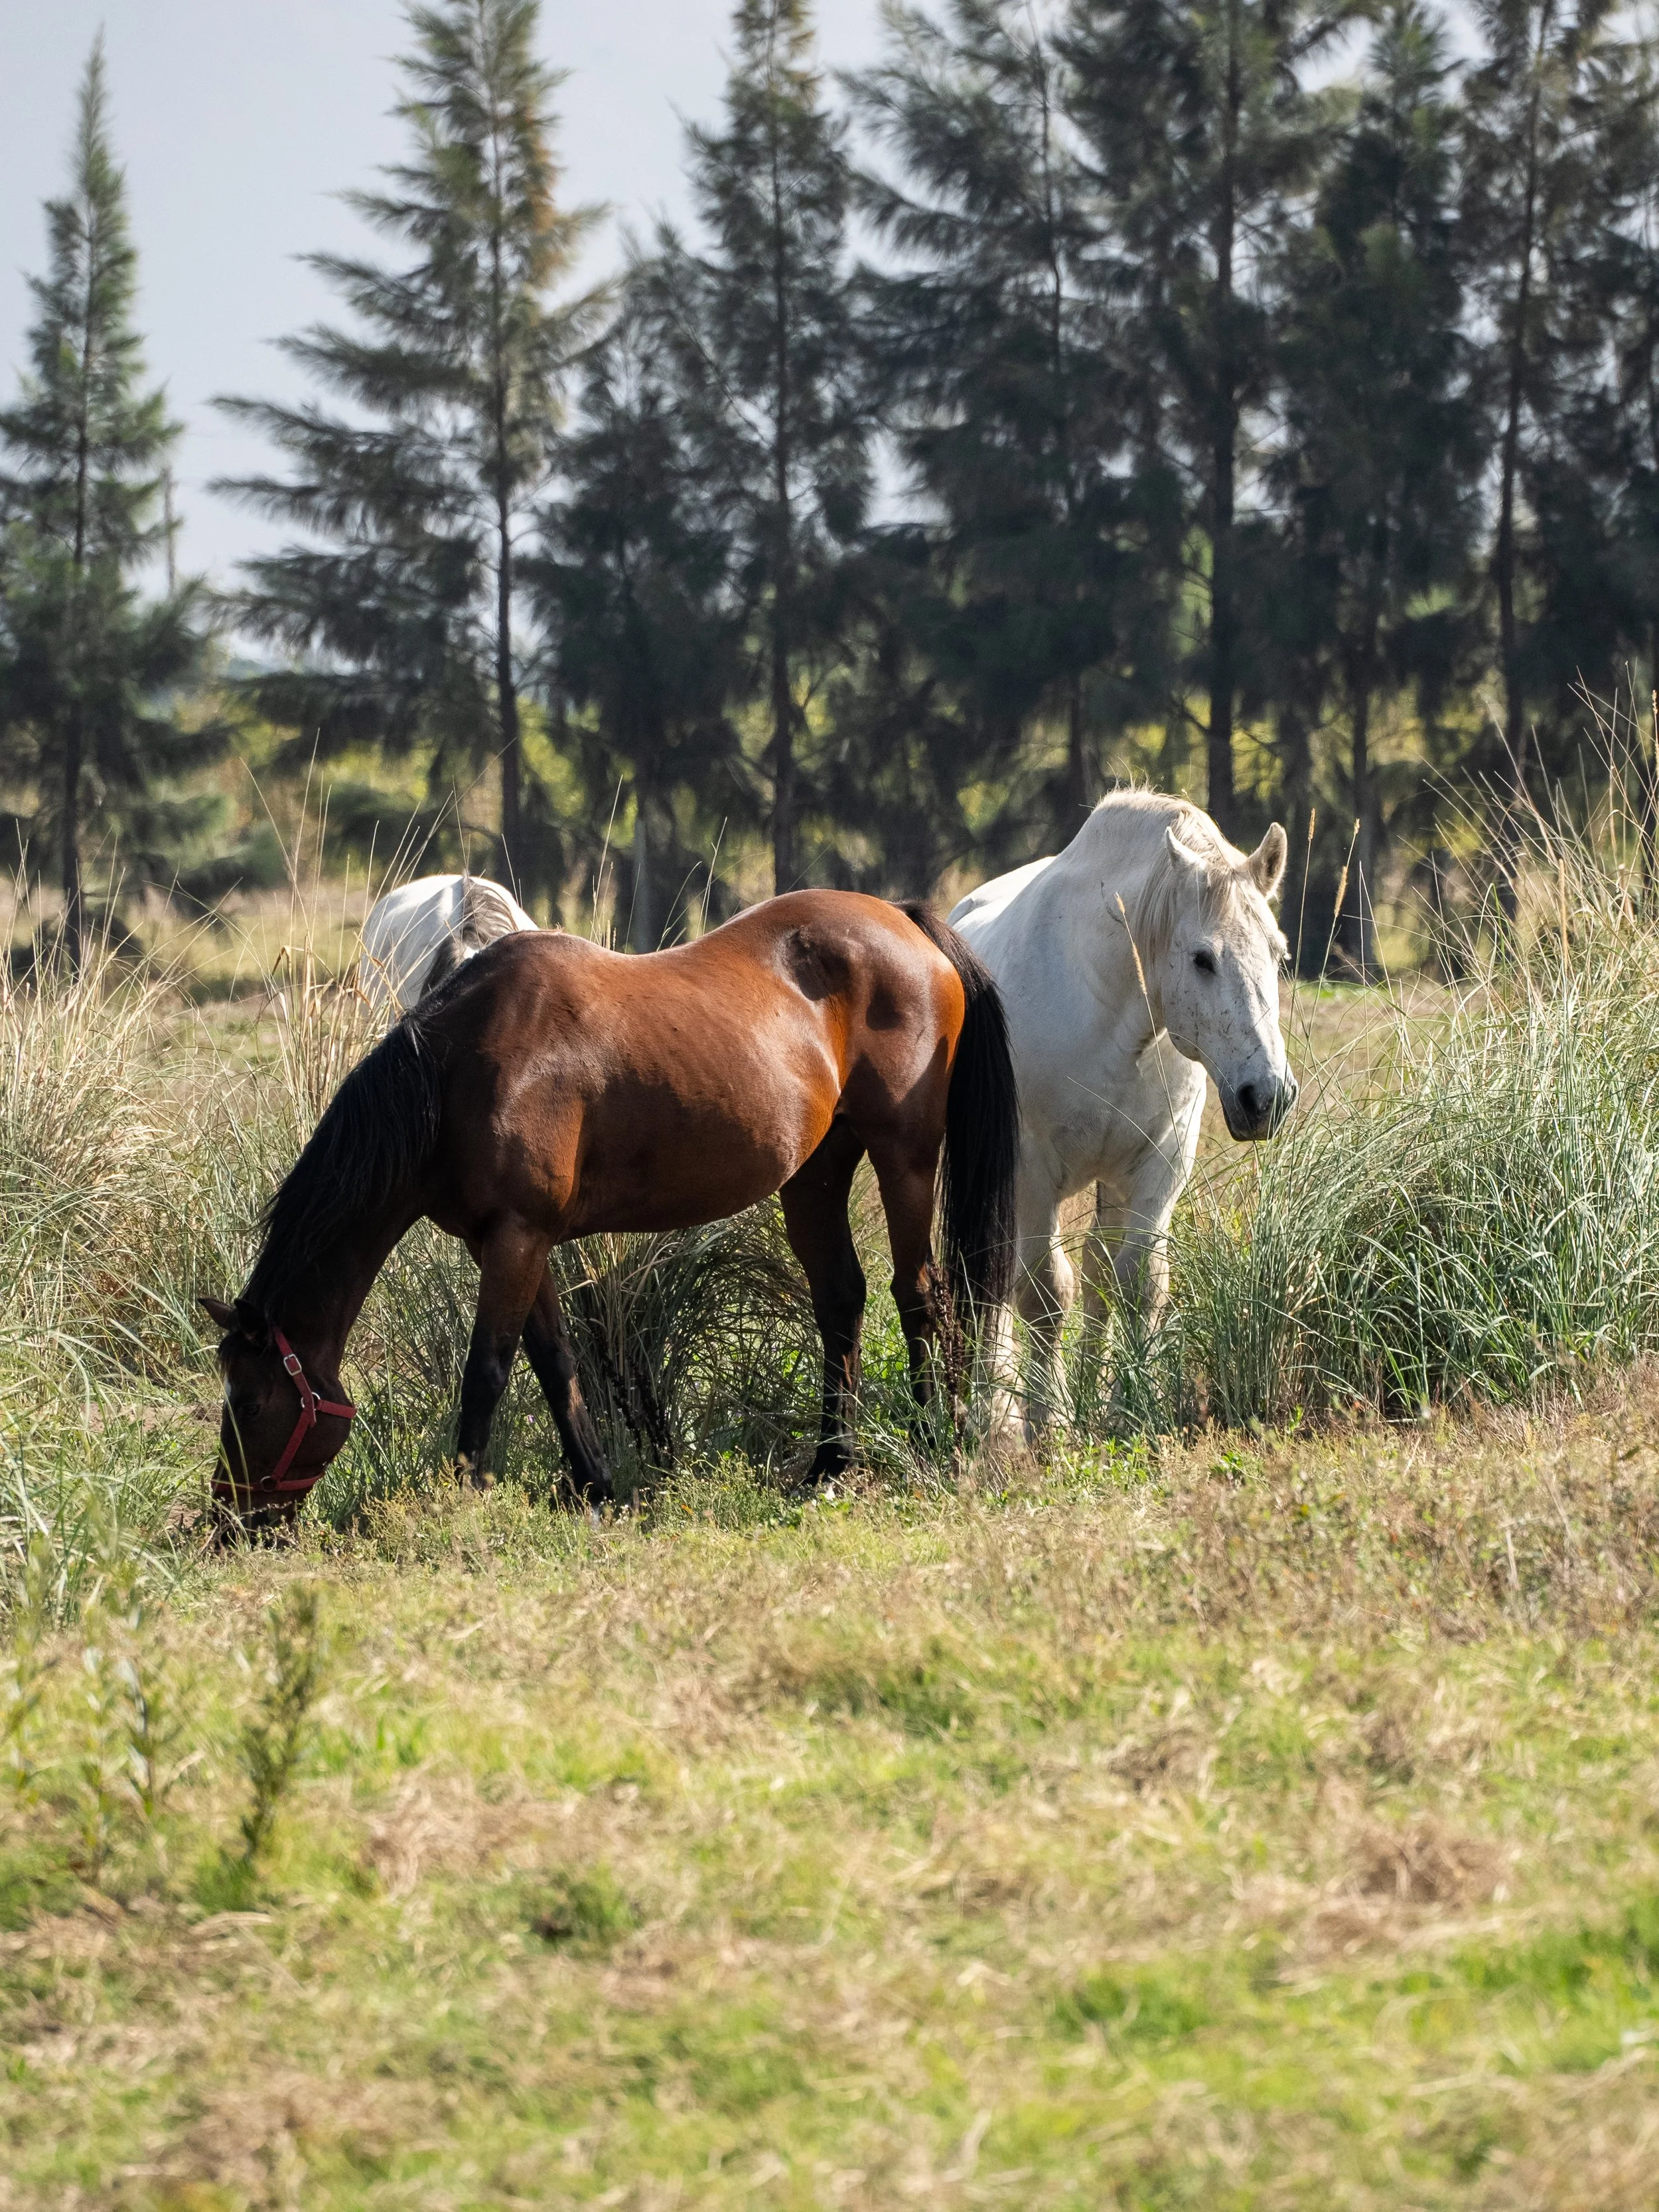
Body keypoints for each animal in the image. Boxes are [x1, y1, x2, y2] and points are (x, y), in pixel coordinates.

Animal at [201, 893, 1019, 1525]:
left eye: (250, 1401)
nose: (230, 1521)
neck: (460, 1069)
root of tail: (905, 919)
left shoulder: (516, 1238)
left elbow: (487, 1369)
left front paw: (463, 1494)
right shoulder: (512, 1243)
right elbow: (554, 1362)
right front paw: (595, 1487)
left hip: (905, 1158)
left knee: (920, 1295)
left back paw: (933, 1443)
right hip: (815, 1174)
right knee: (841, 1300)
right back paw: (829, 1465)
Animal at [949, 791, 1297, 1429]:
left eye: (1278, 953)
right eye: (1203, 958)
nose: (1267, 1096)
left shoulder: (1160, 1162)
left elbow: (1138, 1284)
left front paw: (1133, 1407)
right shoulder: (1032, 1172)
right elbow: (1045, 1293)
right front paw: (1048, 1421)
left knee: (1097, 1275)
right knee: (994, 1278)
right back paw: (997, 1410)